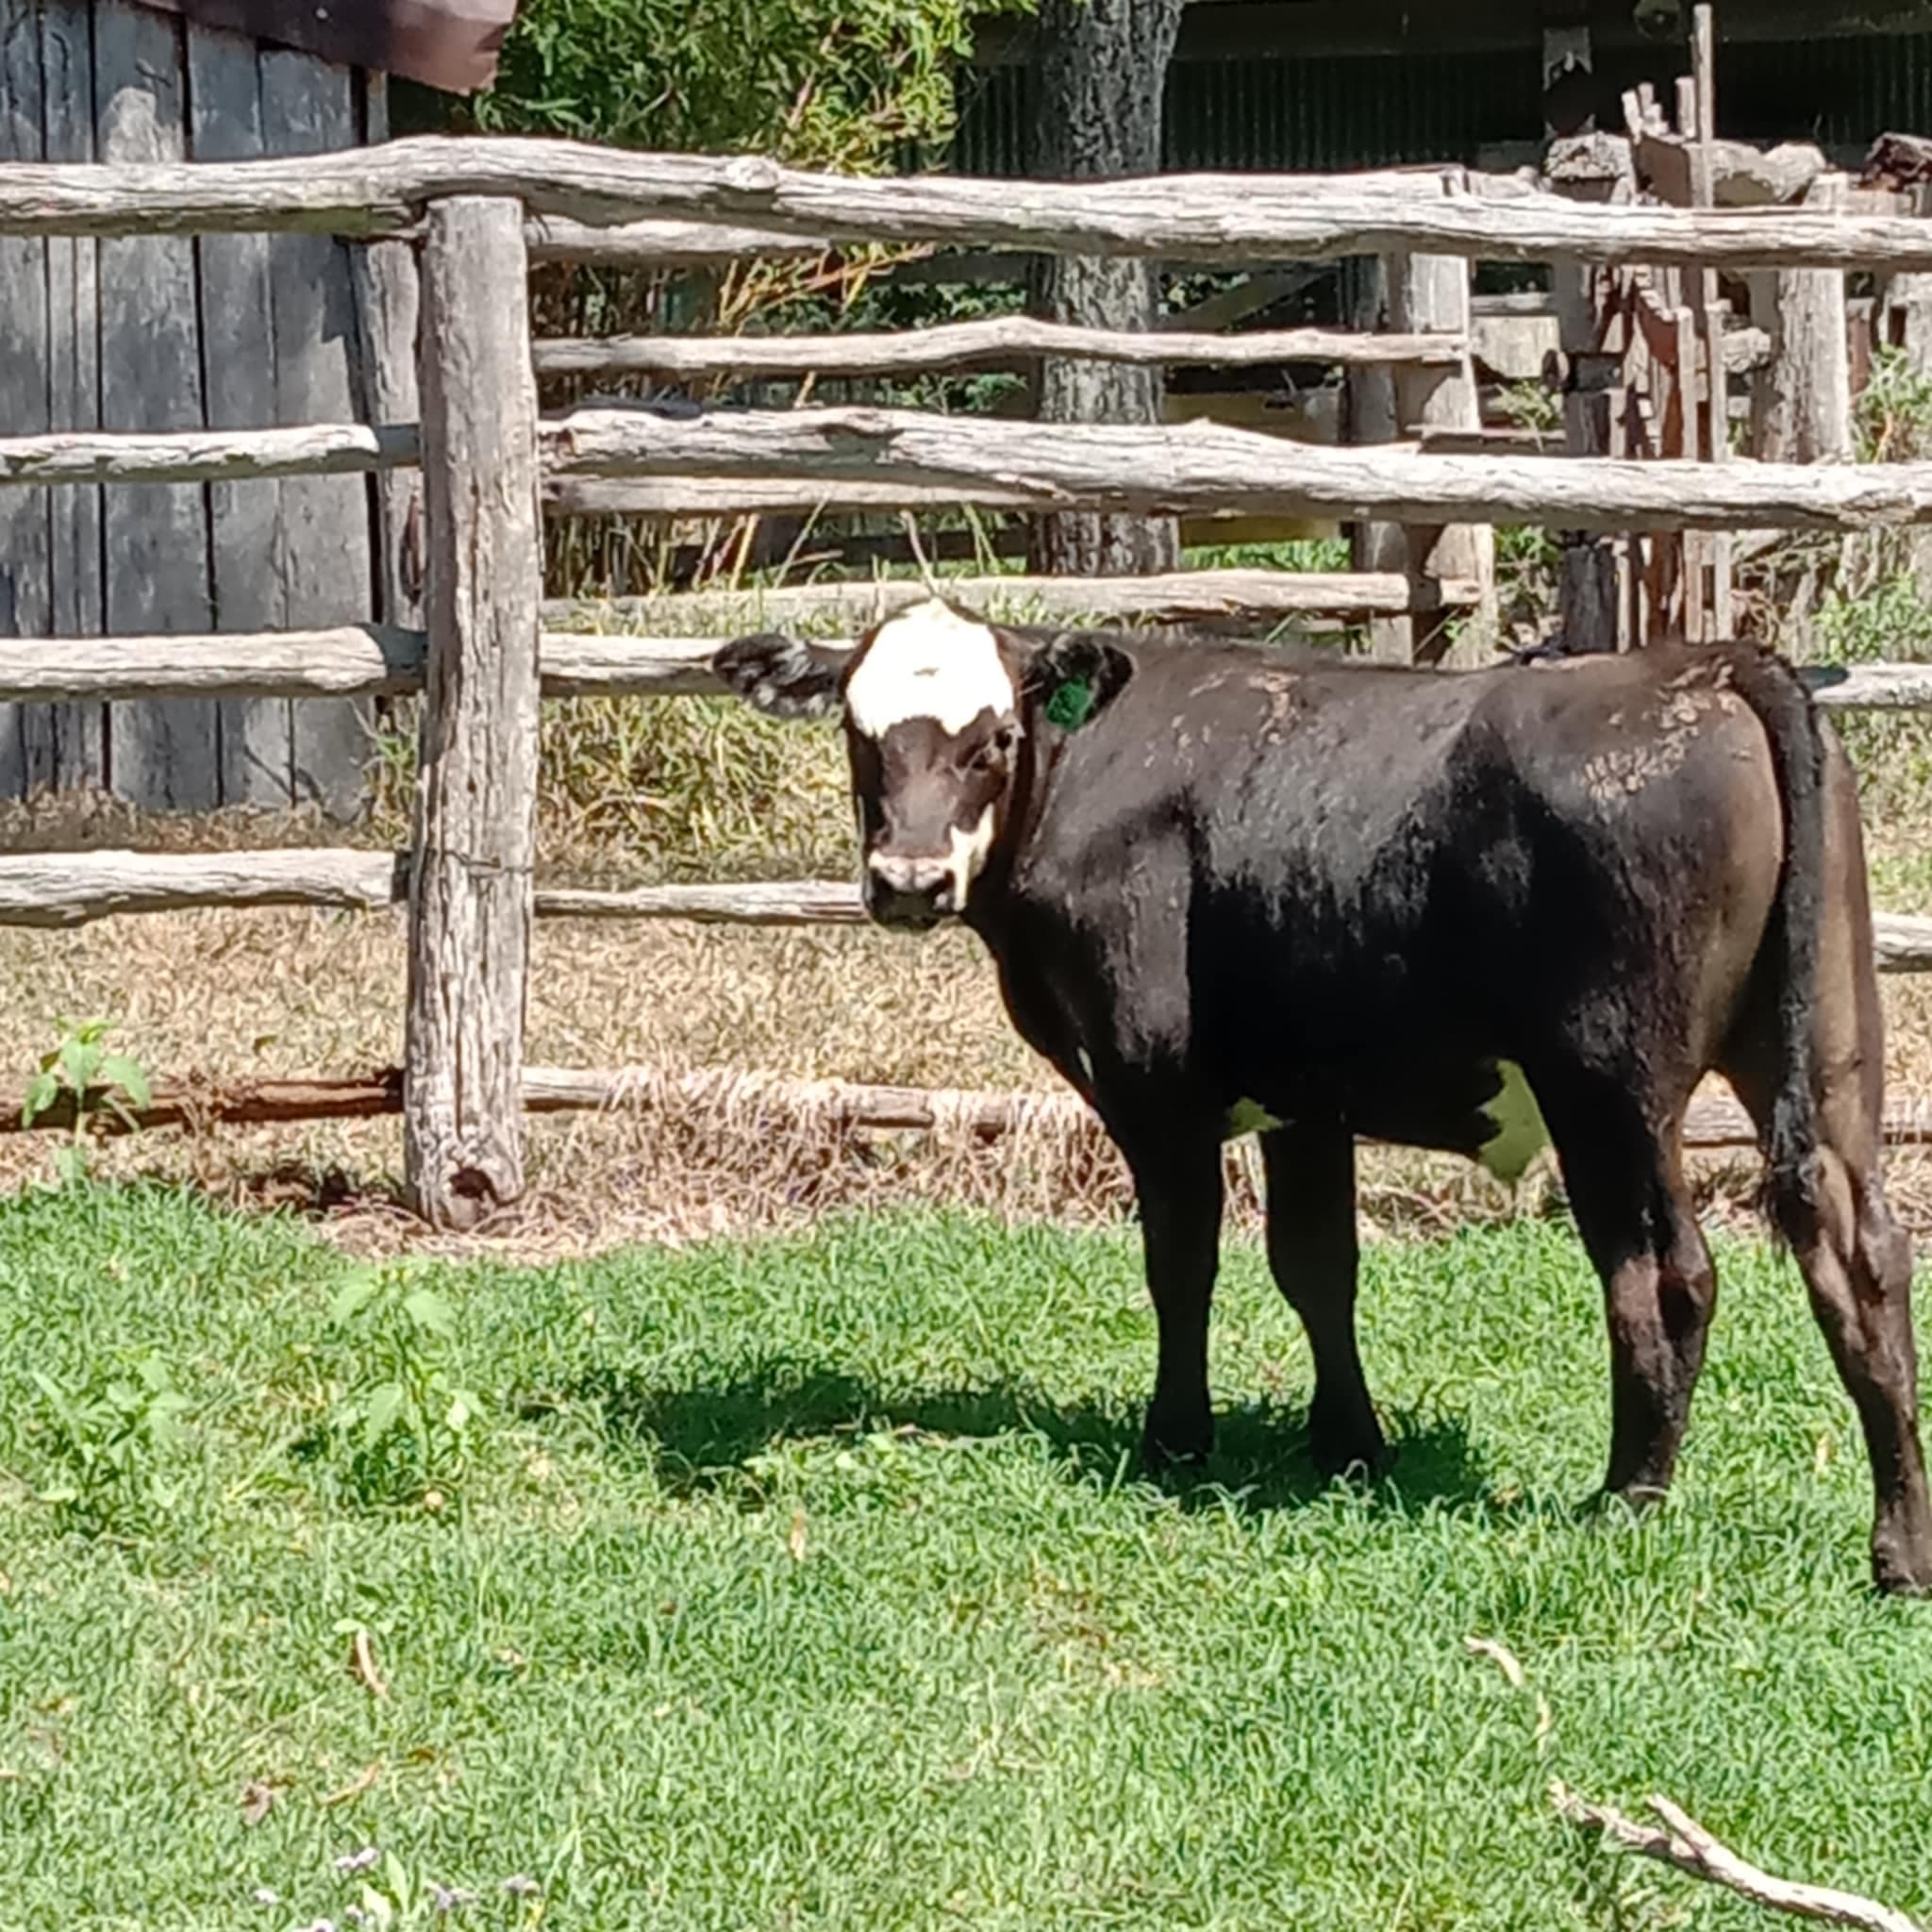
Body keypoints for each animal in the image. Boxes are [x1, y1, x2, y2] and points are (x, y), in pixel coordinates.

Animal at [712, 597, 1932, 1594]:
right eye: (858, 732)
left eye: (993, 738)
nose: (907, 881)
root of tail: (1707, 663)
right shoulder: (1304, 1098)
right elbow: (1316, 1266)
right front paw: (1348, 1442)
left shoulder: (1155, 1092)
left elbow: (1182, 1264)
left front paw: (1175, 1438)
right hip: (1825, 1055)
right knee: (1859, 1257)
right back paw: (1898, 1548)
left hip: (1608, 1086)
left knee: (1665, 1276)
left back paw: (1625, 1494)